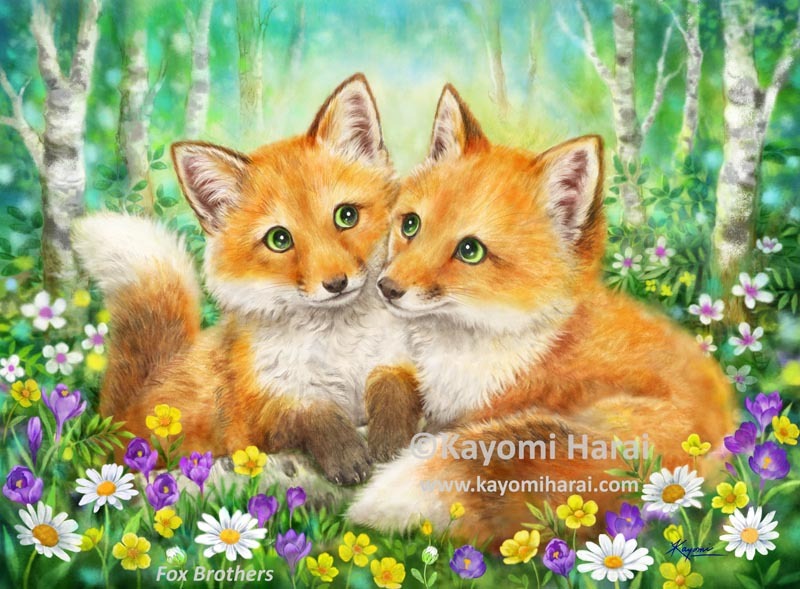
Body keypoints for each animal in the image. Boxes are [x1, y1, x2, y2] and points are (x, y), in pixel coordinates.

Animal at [72, 74, 422, 484]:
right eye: (279, 239)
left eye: (346, 216)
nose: (336, 283)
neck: (340, 349)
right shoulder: (256, 417)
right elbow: (310, 415)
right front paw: (345, 453)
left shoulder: (402, 361)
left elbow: (395, 388)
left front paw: (390, 440)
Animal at [347, 85, 735, 544]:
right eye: (410, 225)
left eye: (470, 250)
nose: (387, 288)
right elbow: (388, 376)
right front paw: (386, 430)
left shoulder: (487, 410)